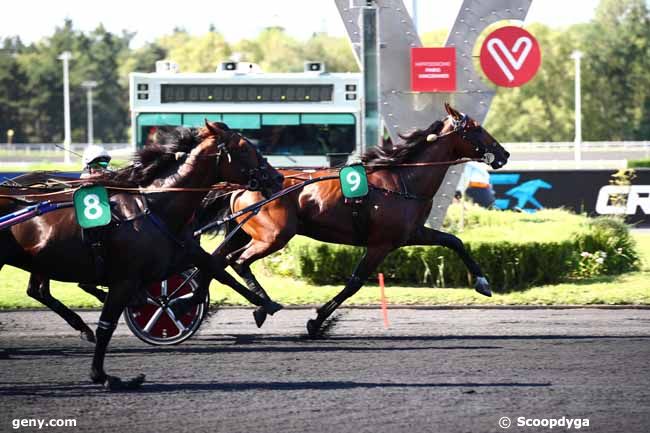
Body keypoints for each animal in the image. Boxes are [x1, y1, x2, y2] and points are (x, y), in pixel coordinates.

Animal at [190, 103, 508, 336]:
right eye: (476, 129)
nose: (503, 153)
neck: (403, 180)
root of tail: (242, 185)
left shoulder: (411, 233)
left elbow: (454, 241)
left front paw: (483, 283)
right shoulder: (381, 244)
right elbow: (355, 282)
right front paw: (317, 321)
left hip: (246, 231)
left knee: (216, 262)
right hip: (274, 235)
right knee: (238, 261)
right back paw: (262, 306)